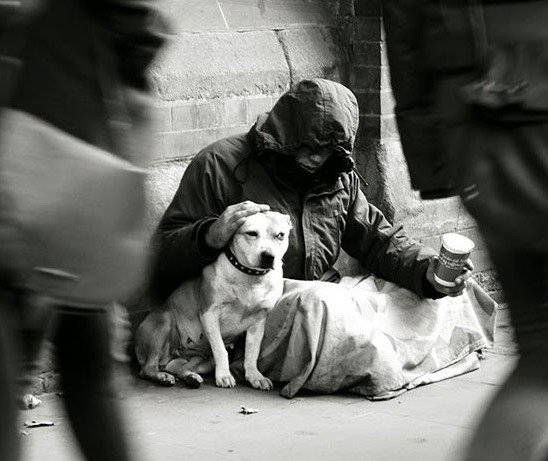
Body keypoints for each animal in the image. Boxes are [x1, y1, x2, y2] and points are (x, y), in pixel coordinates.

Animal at [135, 210, 292, 390]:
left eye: (280, 235)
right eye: (251, 233)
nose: (269, 256)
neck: (250, 277)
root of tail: (169, 359)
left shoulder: (258, 322)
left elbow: (252, 352)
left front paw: (255, 376)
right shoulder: (210, 314)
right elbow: (220, 349)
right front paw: (224, 375)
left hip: (203, 360)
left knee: (182, 370)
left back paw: (191, 377)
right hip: (163, 324)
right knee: (147, 369)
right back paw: (162, 377)